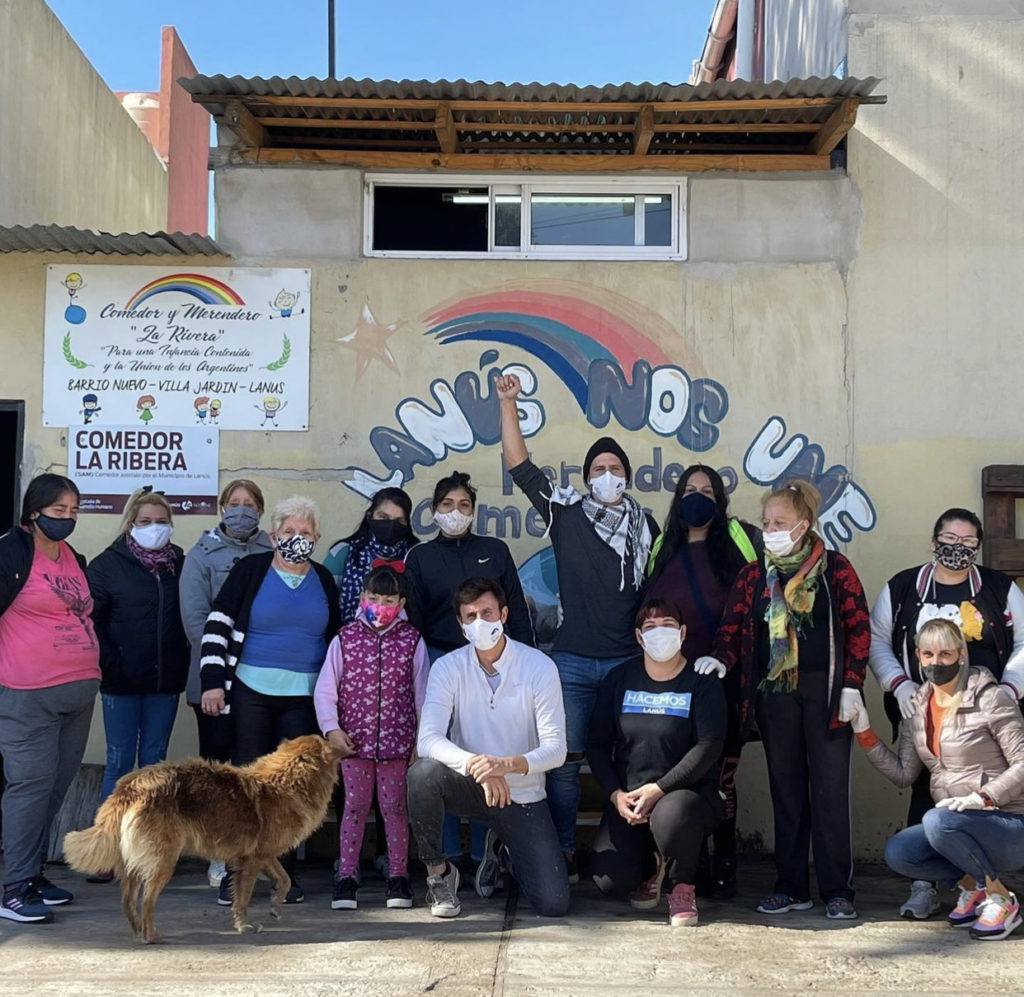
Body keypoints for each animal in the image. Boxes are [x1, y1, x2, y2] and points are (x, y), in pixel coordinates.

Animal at [63, 734, 342, 942]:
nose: (343, 744)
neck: (285, 783)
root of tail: (131, 785)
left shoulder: (265, 855)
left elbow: (284, 879)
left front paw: (275, 905)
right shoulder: (251, 861)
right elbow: (243, 897)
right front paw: (244, 925)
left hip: (132, 861)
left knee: (127, 900)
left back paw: (138, 932)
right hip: (163, 860)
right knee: (147, 899)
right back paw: (151, 936)